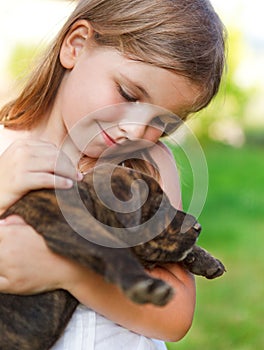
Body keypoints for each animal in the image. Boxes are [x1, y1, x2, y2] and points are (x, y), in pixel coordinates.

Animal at [0, 165, 225, 350]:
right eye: (159, 208)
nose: (198, 227)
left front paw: (206, 260)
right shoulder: (67, 226)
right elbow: (115, 252)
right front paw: (145, 284)